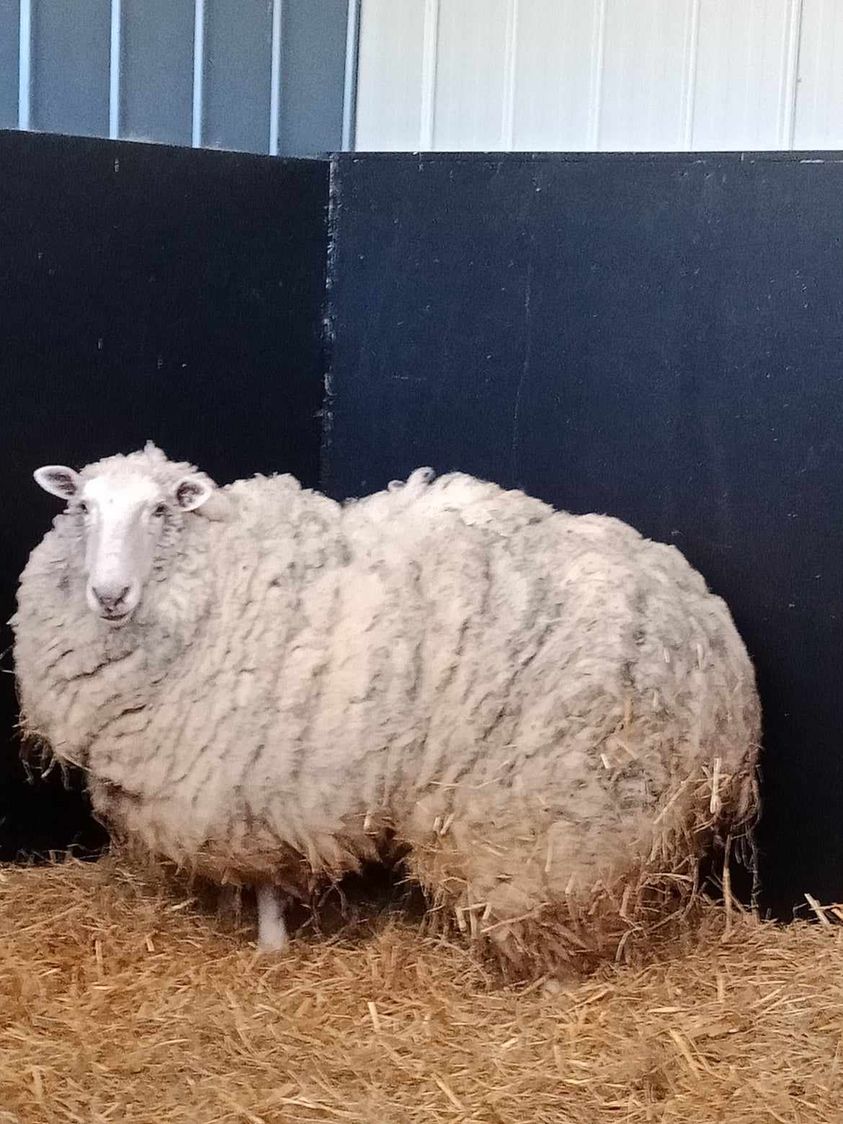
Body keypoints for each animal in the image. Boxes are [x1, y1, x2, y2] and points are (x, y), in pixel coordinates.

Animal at [12, 442, 760, 976]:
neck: (219, 583)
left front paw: (271, 943)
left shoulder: (257, 781)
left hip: (560, 808)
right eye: (83, 508)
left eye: (162, 510)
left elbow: (269, 879)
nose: (110, 594)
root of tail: (711, 635)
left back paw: (552, 976)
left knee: (556, 896)